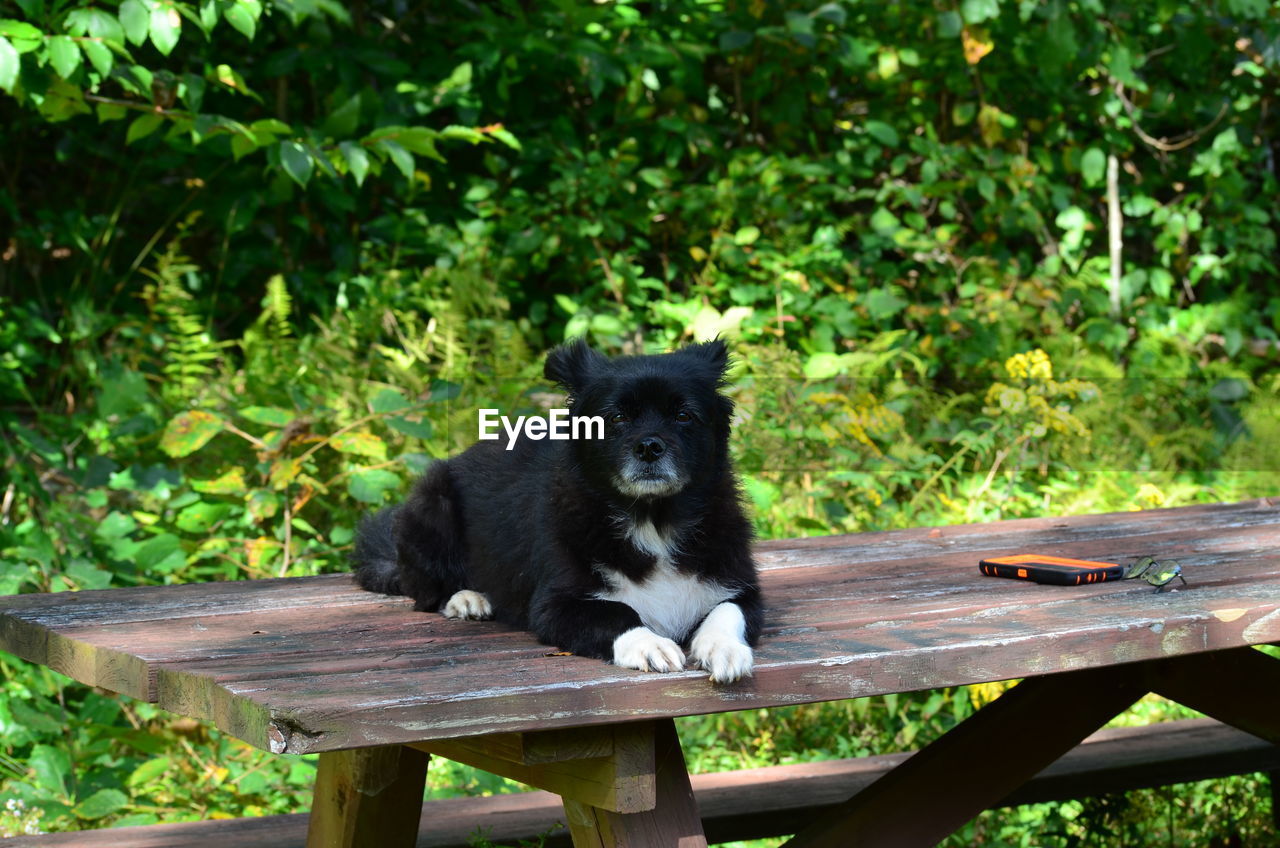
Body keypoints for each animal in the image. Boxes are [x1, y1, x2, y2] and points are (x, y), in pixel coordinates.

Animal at [353, 338, 757, 686]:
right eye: (616, 418)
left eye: (684, 415)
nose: (649, 447)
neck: (652, 519)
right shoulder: (556, 606)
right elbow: (617, 613)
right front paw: (649, 644)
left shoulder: (741, 588)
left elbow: (727, 612)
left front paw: (725, 649)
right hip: (432, 503)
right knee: (426, 592)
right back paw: (467, 598)